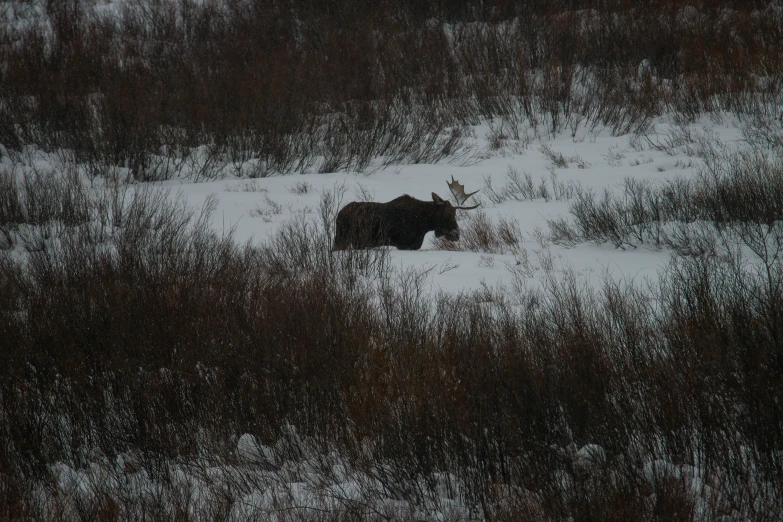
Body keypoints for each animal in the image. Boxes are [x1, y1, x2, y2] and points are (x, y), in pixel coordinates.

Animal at [334, 177, 480, 250]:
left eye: (455, 213)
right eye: (446, 214)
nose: (456, 234)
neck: (424, 225)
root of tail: (339, 214)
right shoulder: (404, 244)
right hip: (342, 238)